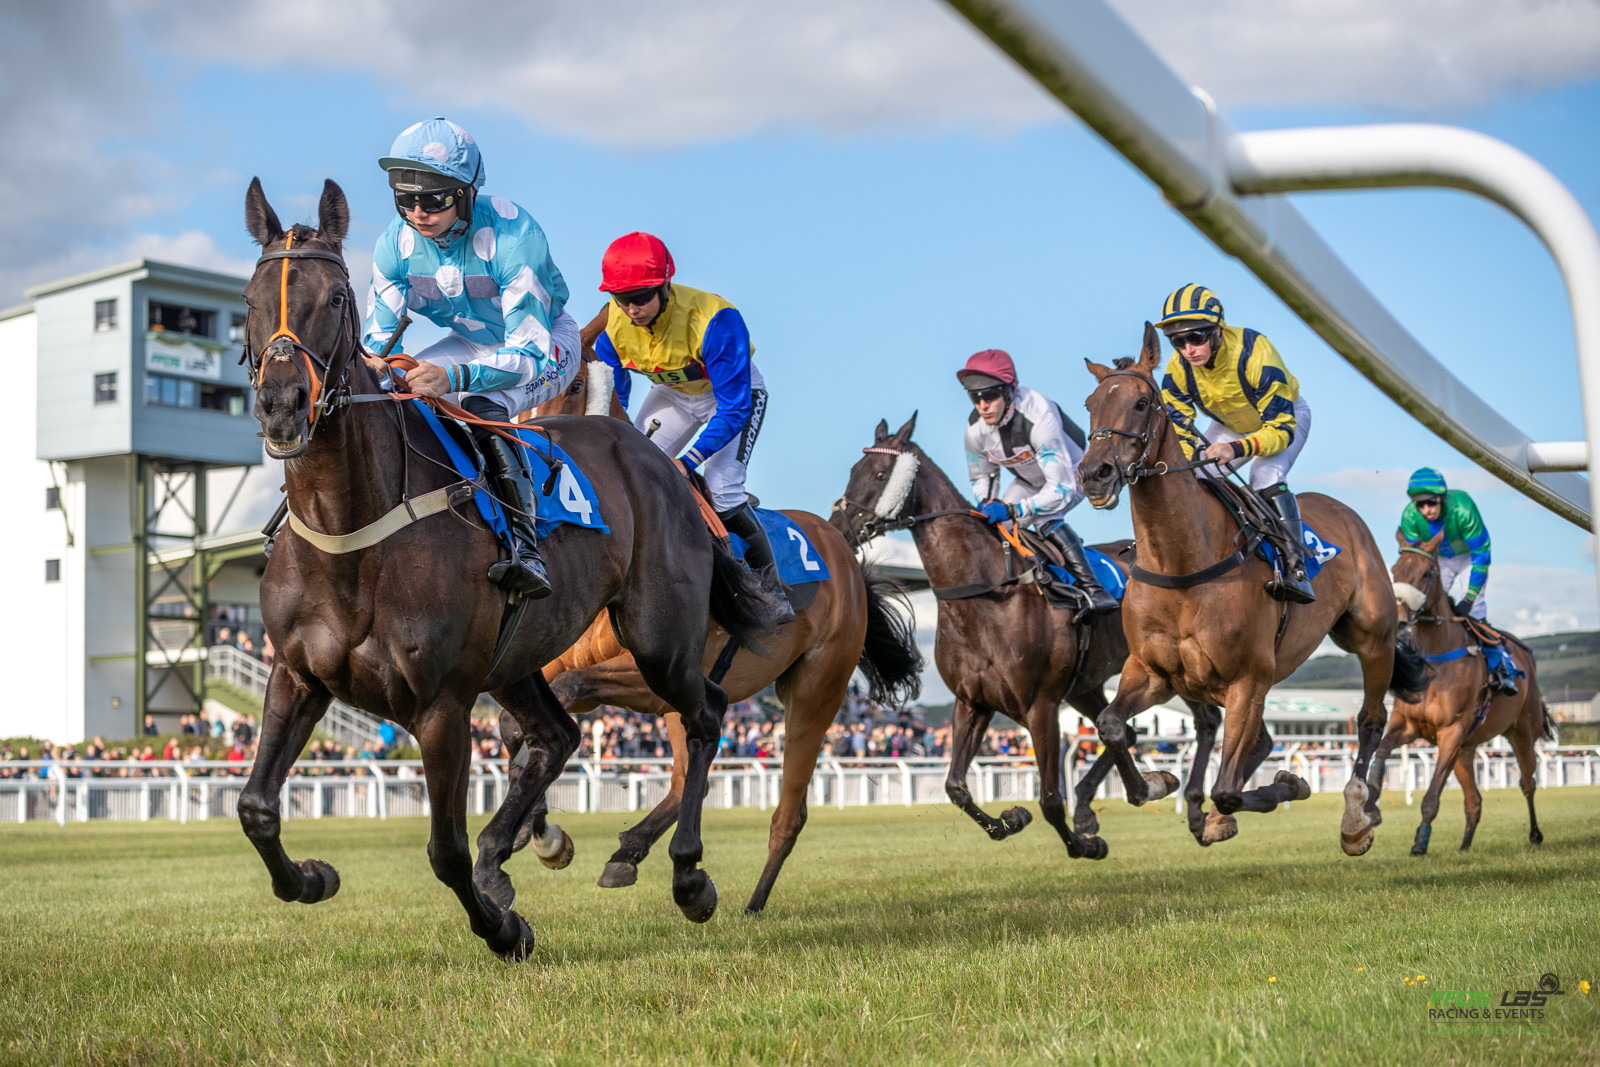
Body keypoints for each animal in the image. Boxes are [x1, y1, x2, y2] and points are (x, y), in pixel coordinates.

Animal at [238, 178, 773, 959]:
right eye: (249, 299)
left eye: (336, 296)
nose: (281, 405)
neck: (351, 534)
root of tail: (666, 464)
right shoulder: (298, 674)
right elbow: (255, 807)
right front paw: (311, 877)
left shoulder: (441, 705)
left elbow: (444, 850)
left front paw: (503, 928)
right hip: (518, 657)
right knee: (559, 736)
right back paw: (515, 853)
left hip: (658, 636)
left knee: (704, 712)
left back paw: (687, 876)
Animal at [520, 341, 924, 914]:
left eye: (574, 385)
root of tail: (844, 551)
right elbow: (526, 721)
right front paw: (536, 830)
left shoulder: (654, 676)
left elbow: (568, 692)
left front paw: (541, 834)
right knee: (687, 778)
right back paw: (629, 852)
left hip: (816, 691)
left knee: (788, 811)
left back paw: (751, 902)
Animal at [830, 413, 1213, 859]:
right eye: (852, 472)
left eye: (878, 473)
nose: (839, 529)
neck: (985, 592)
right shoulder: (973, 702)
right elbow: (955, 787)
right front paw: (1011, 820)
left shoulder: (1041, 706)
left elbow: (1050, 800)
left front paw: (1084, 844)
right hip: (1086, 684)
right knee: (1127, 729)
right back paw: (1135, 793)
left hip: (1170, 667)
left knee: (1205, 721)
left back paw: (1191, 810)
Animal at [1076, 328, 1430, 854]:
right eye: (1090, 404)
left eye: (1141, 403)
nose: (1093, 474)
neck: (1183, 562)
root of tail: (1344, 511)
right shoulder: (1152, 671)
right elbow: (1113, 725)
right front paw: (1157, 783)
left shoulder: (1248, 678)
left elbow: (1227, 789)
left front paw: (1288, 785)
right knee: (1261, 740)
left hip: (1372, 639)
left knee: (1370, 720)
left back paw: (1356, 815)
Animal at [1368, 532, 1550, 854]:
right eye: (1395, 570)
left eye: (1426, 573)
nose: (1398, 620)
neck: (1437, 657)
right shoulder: (1407, 725)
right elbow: (1382, 753)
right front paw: (1371, 805)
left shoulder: (1451, 731)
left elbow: (1431, 796)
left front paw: (1420, 841)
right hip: (1465, 750)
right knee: (1474, 799)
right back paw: (1465, 846)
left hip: (1522, 732)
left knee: (1527, 784)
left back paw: (1535, 835)